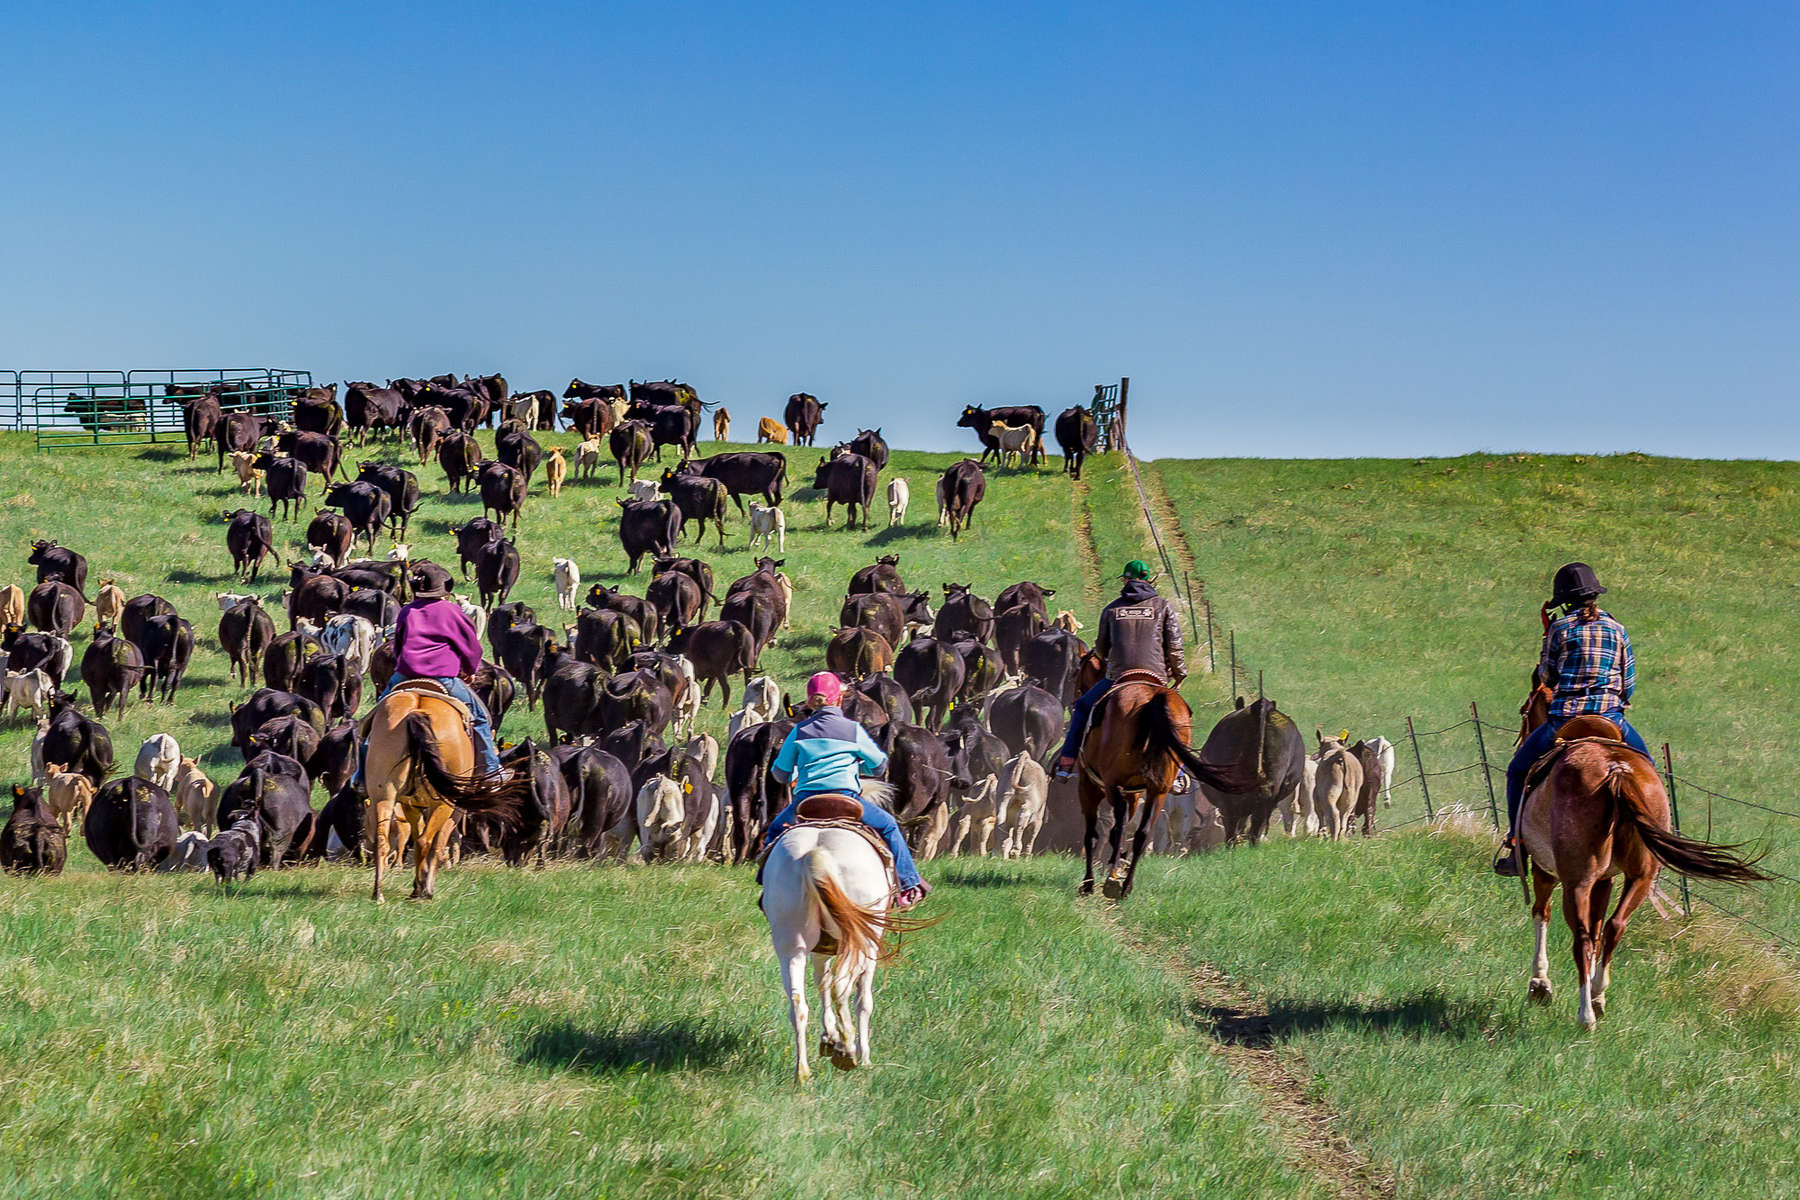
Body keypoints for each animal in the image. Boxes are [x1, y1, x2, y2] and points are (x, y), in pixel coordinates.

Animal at [361, 683, 525, 899]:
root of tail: (416, 711)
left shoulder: (410, 804)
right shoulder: (453, 811)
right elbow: (440, 842)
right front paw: (425, 886)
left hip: (384, 795)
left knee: (385, 840)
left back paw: (379, 893)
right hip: (443, 803)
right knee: (426, 841)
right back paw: (423, 891)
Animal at [1072, 676, 1260, 899]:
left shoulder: (1090, 786)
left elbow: (1093, 835)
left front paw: (1089, 883)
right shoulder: (1136, 795)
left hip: (1115, 786)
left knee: (1121, 827)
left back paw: (1111, 878)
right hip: (1160, 794)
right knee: (1145, 833)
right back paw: (1125, 884)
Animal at [1512, 705, 1764, 1036]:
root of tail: (1617, 770)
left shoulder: (1546, 871)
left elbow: (1543, 914)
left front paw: (1540, 985)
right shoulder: (1605, 881)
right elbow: (1597, 929)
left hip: (1577, 881)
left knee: (1582, 938)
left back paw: (1585, 1016)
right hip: (1640, 876)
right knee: (1614, 927)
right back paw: (1597, 998)